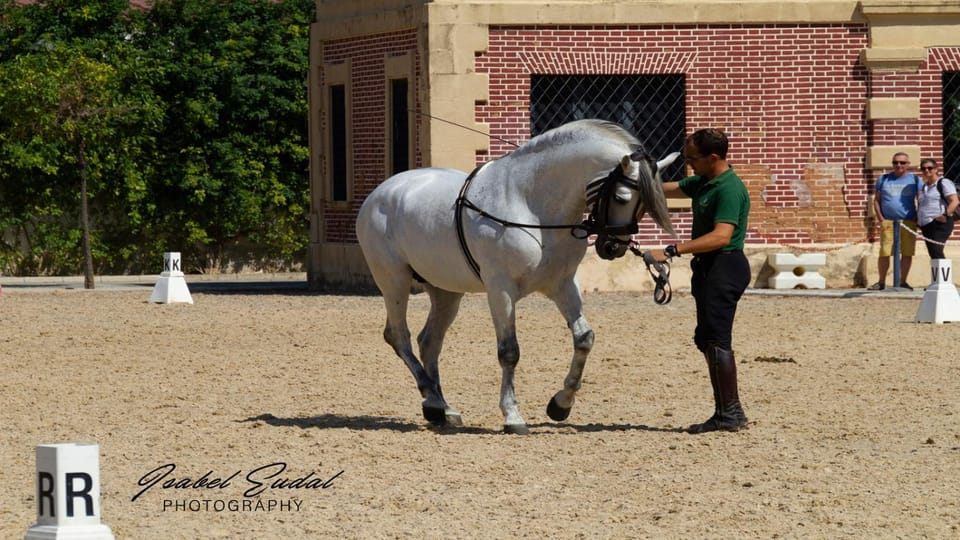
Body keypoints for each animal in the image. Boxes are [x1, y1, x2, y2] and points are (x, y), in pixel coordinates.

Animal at [356, 119, 678, 434]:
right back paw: (432, 399)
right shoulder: (501, 289)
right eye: (622, 197)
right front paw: (512, 416)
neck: (532, 205)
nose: (613, 247)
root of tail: (380, 194)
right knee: (399, 337)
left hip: (446, 292)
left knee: (429, 342)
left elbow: (584, 338)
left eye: (645, 203)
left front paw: (560, 405)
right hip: (394, 282)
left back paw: (441, 409)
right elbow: (509, 351)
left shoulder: (562, 285)